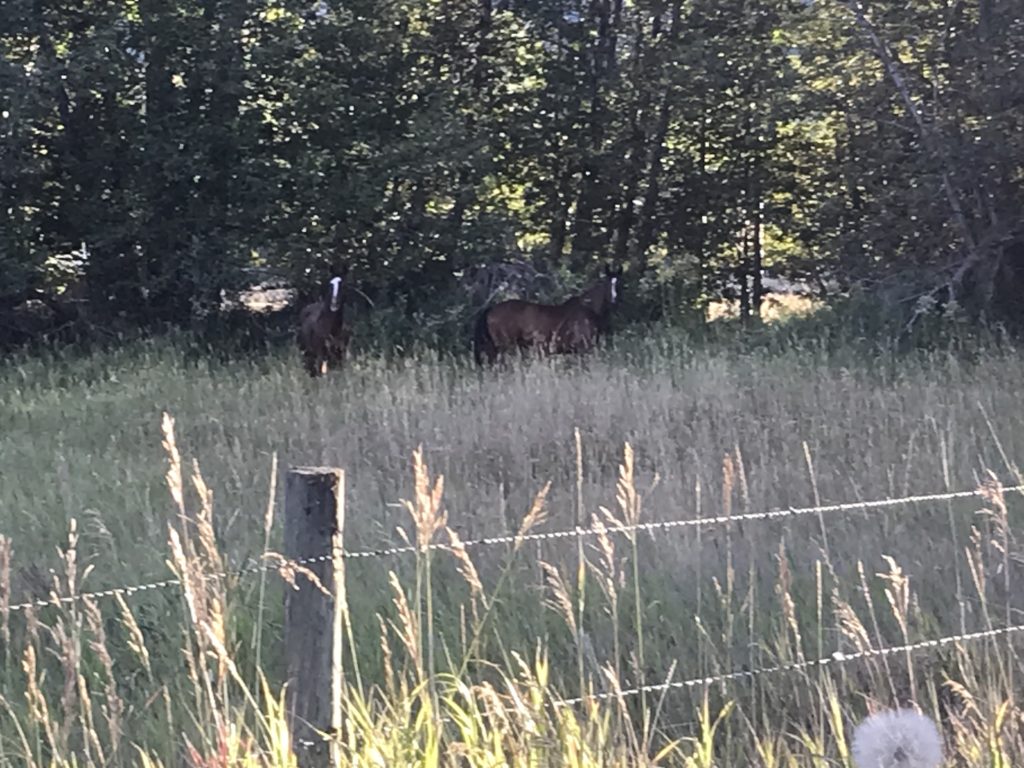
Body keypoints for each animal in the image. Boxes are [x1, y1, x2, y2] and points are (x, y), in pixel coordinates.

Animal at [473, 264, 622, 366]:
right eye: (607, 284)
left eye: (620, 283)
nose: (614, 300)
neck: (587, 308)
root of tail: (491, 309)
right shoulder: (583, 348)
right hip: (504, 346)